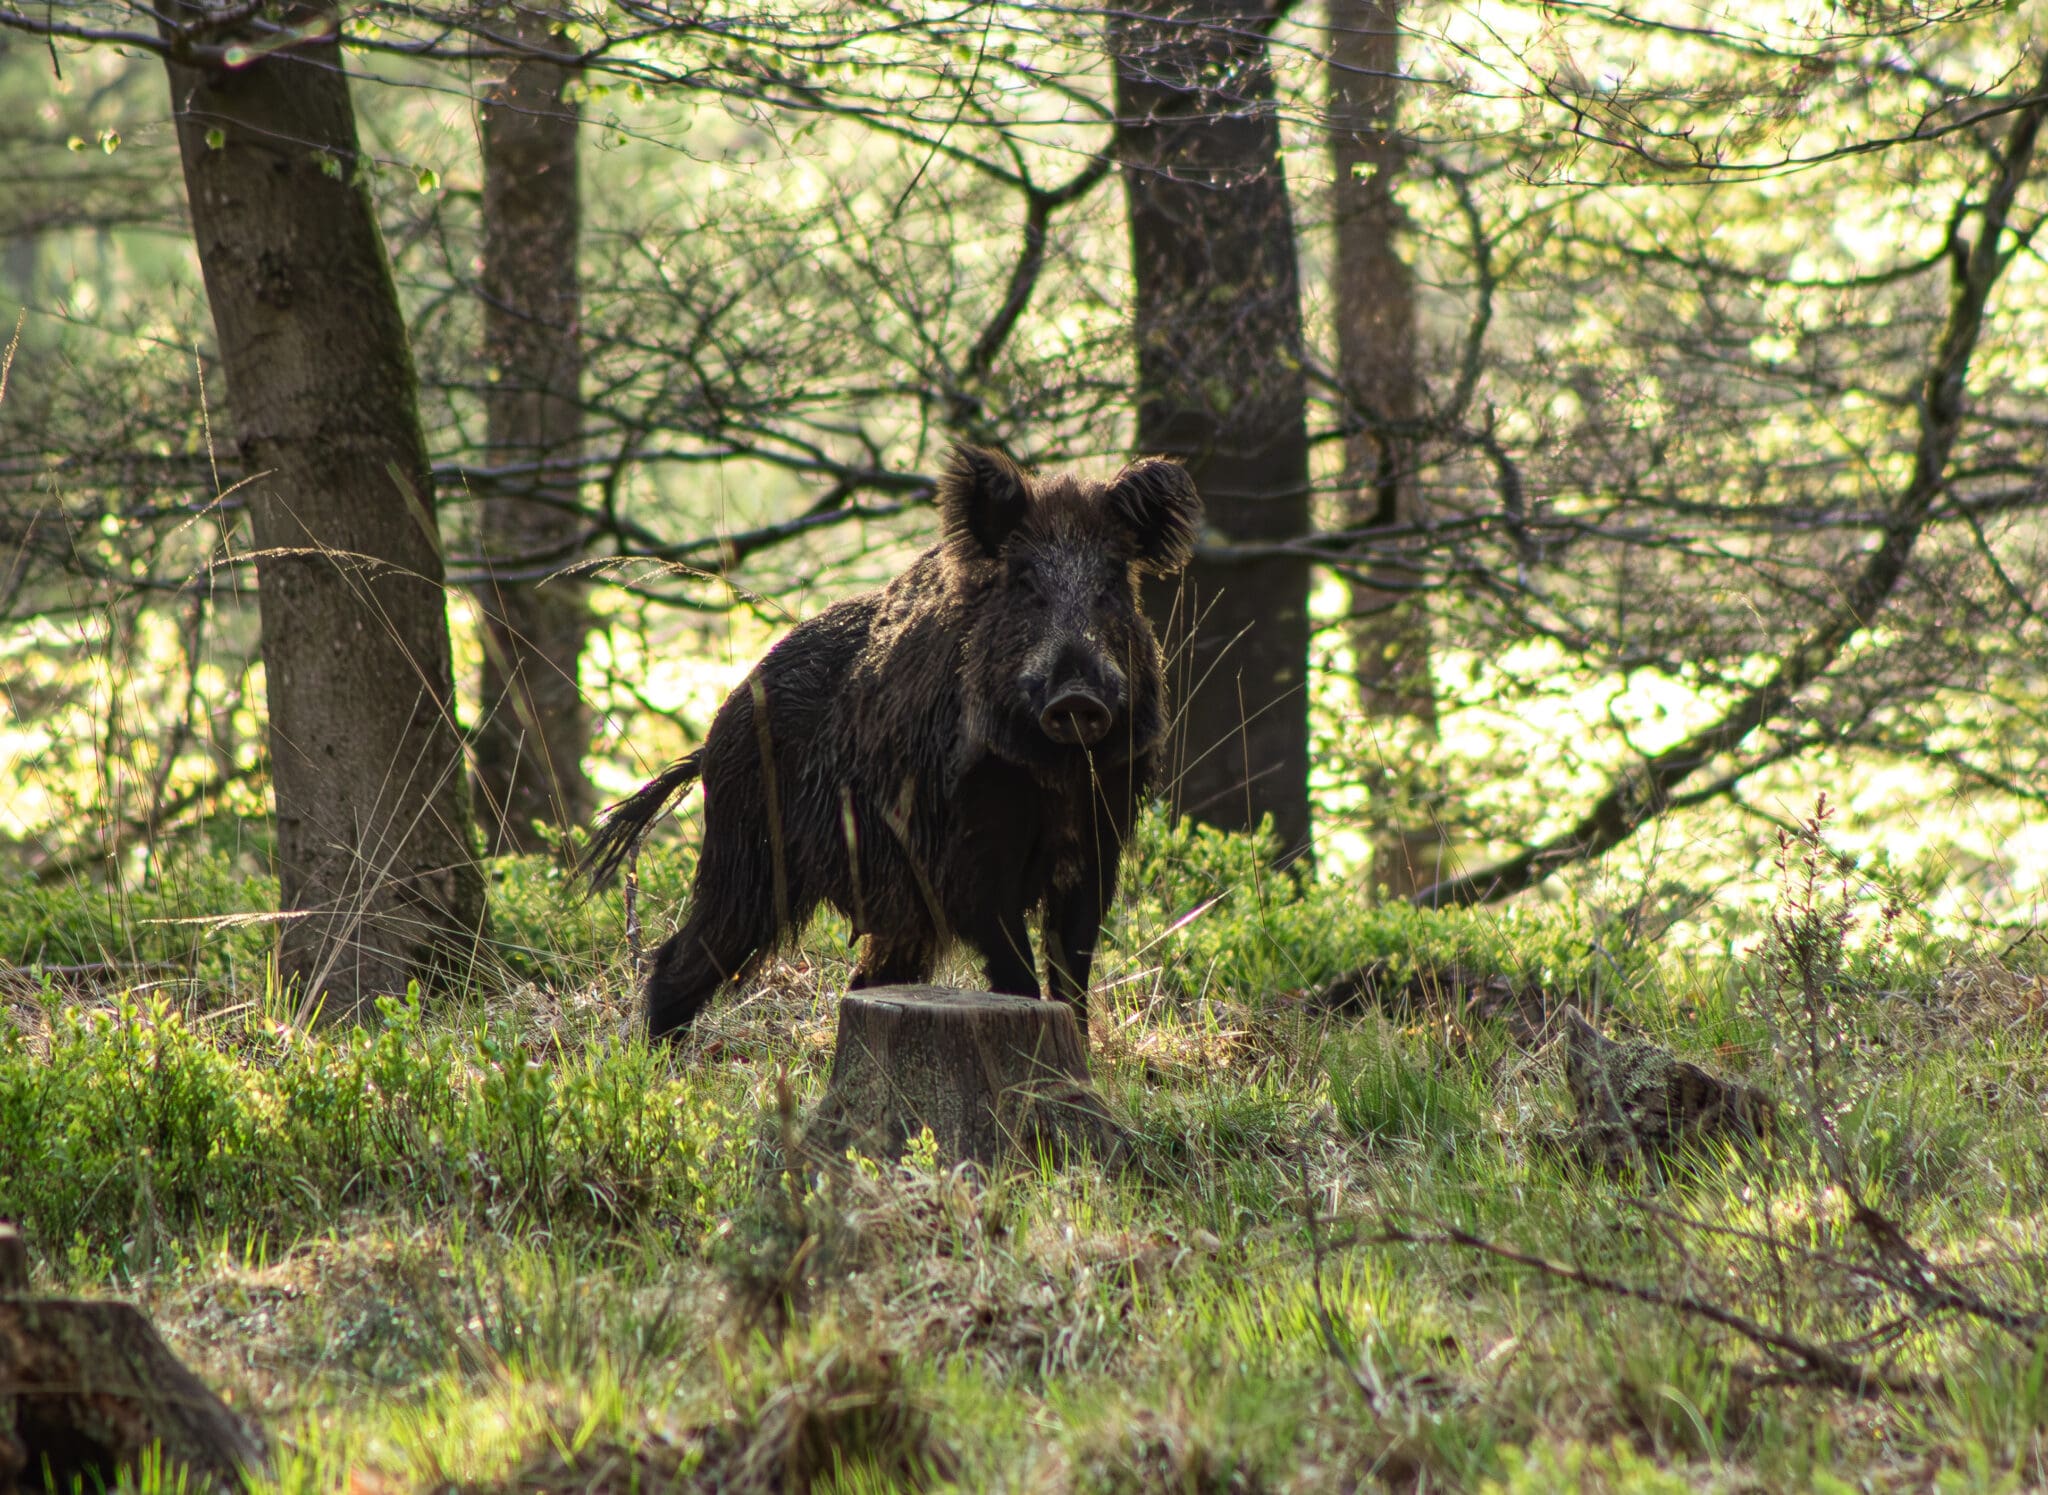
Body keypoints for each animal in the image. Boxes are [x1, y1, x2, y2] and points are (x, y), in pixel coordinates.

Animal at [581, 445, 1201, 1042]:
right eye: (1026, 583)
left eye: (1113, 582)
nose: (1076, 696)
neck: (1052, 770)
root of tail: (713, 738)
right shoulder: (966, 855)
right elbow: (1016, 968)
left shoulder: (1100, 836)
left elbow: (1073, 969)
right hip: (748, 852)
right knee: (683, 957)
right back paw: (656, 1055)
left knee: (864, 980)